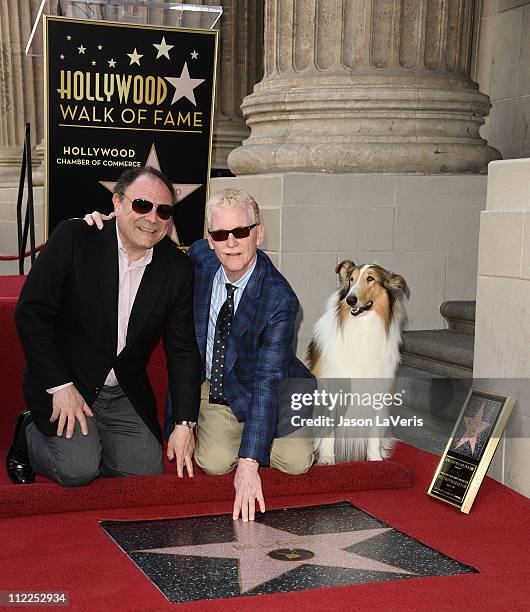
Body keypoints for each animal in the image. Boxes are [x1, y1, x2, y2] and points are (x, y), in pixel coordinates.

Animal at [306, 258, 408, 464]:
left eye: (370, 279)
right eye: (351, 279)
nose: (350, 299)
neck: (362, 328)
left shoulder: (376, 391)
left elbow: (374, 434)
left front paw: (375, 460)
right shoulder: (331, 389)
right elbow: (328, 431)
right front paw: (327, 459)